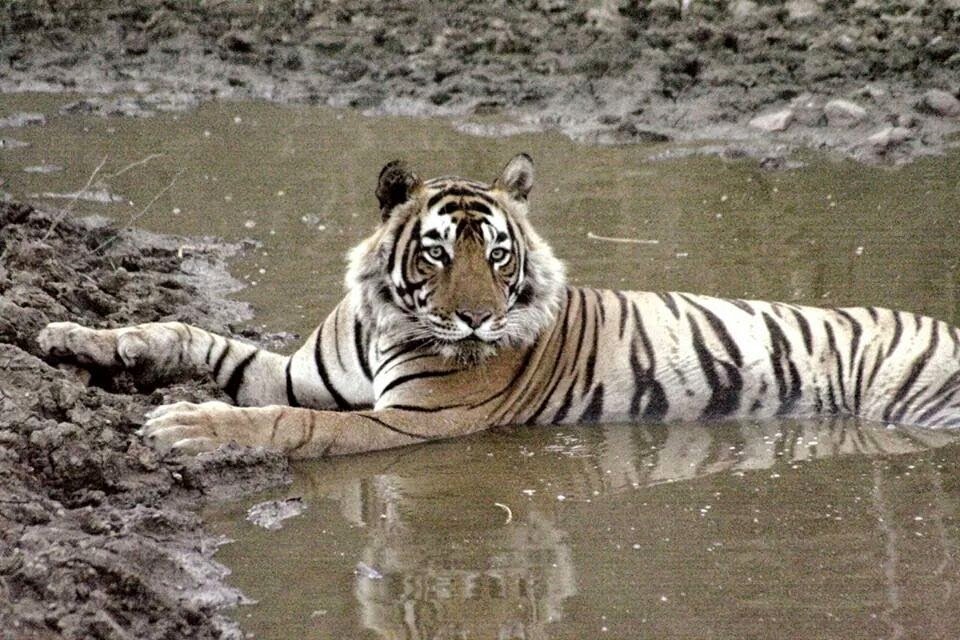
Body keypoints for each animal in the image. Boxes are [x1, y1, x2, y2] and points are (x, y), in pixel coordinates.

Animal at [37, 153, 960, 458]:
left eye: (500, 254)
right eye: (438, 252)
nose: (477, 319)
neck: (381, 322)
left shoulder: (410, 422)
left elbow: (288, 424)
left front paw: (187, 428)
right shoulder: (296, 371)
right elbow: (188, 333)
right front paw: (72, 335)